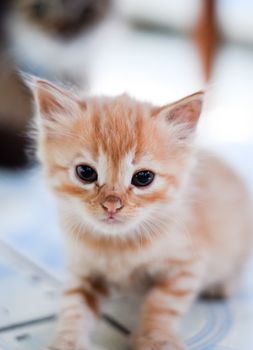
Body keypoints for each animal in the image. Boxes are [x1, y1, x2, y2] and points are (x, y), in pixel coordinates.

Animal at [32, 79, 253, 350]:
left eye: (143, 177)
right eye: (85, 172)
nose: (112, 206)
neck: (118, 245)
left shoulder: (186, 266)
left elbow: (162, 305)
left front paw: (155, 339)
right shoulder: (83, 269)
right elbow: (74, 306)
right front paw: (68, 341)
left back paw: (222, 286)